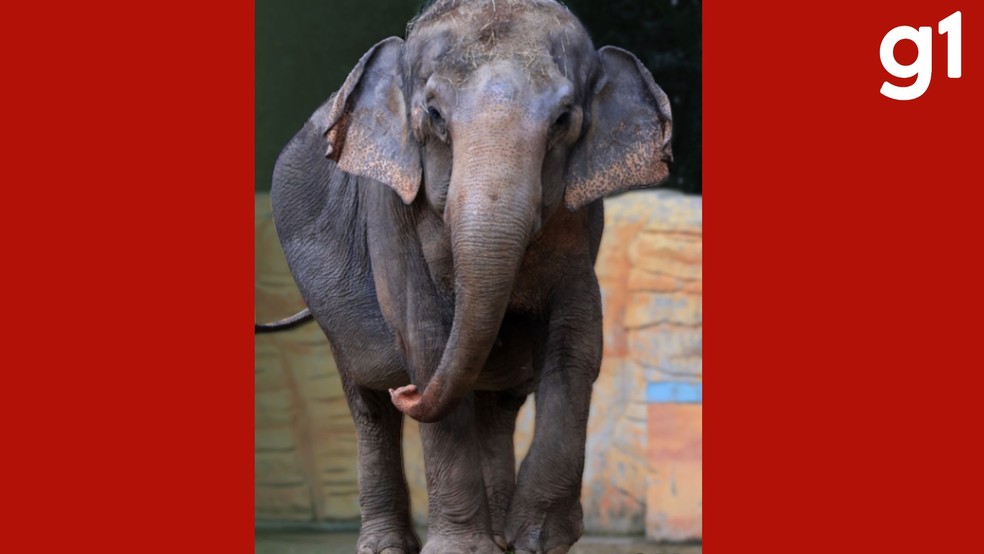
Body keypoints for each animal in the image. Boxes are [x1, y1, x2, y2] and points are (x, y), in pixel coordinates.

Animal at [268, 0, 672, 552]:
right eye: (435, 116)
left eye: (564, 120)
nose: (408, 393)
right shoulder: (391, 214)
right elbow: (425, 340)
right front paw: (461, 549)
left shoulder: (580, 223)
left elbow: (576, 343)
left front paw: (537, 541)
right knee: (368, 401)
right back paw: (387, 544)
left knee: (496, 406)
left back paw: (499, 537)